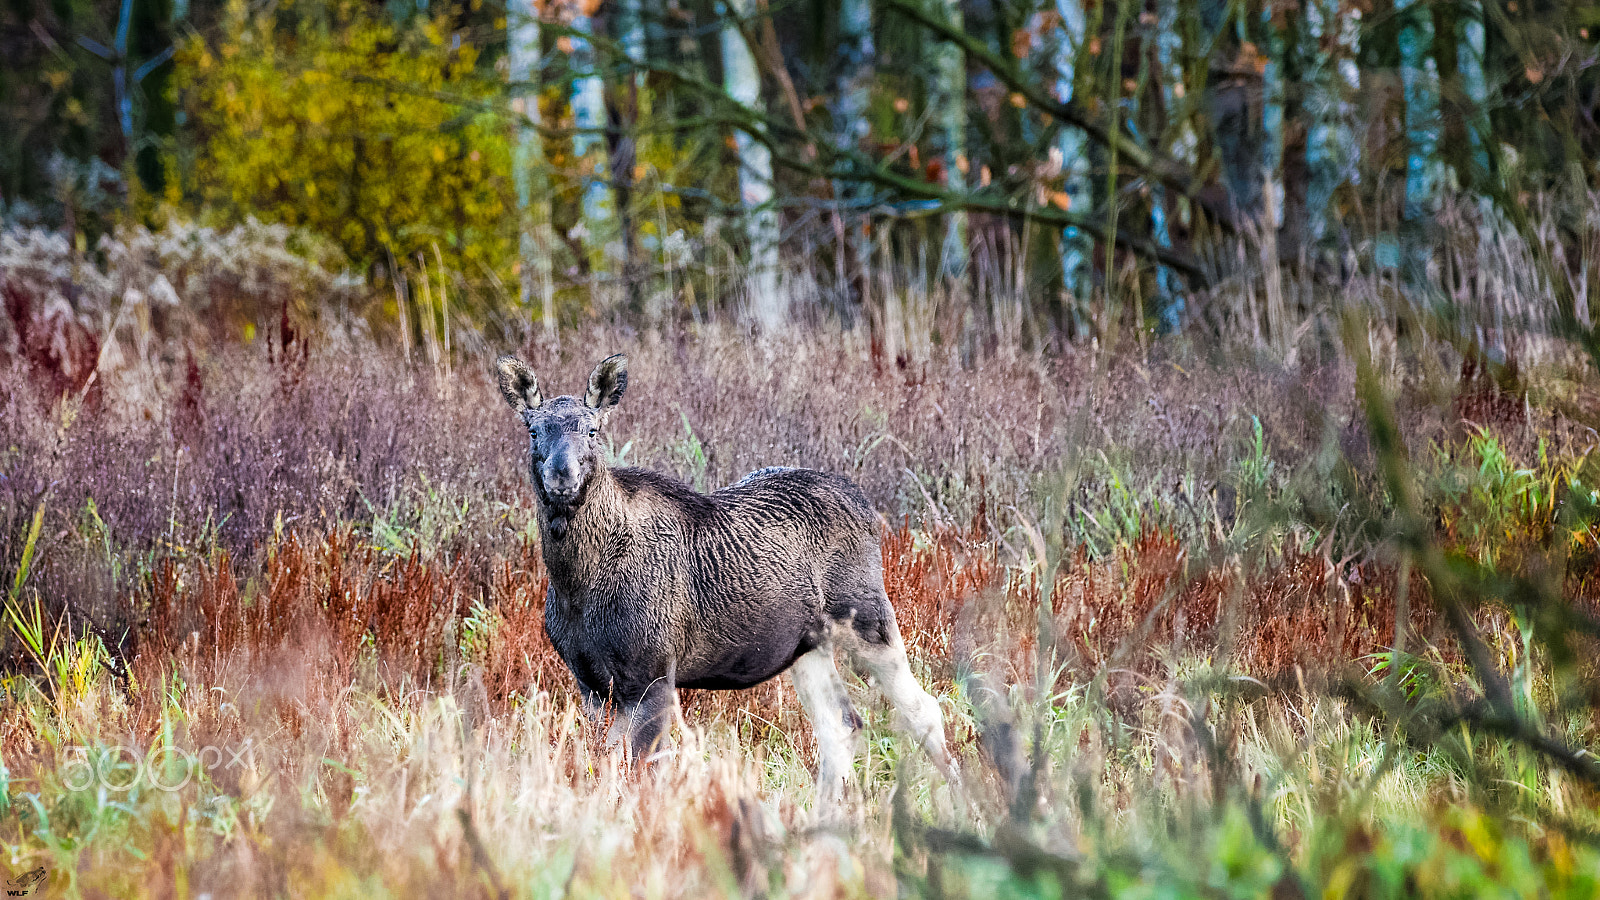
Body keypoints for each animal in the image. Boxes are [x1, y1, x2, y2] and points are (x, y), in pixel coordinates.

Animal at [493, 353, 958, 812]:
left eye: (592, 430)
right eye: (533, 430)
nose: (561, 475)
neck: (577, 584)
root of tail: (866, 505)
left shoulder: (652, 675)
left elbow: (646, 771)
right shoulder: (590, 683)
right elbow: (605, 767)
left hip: (868, 619)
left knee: (924, 710)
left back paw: (960, 800)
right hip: (807, 646)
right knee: (841, 726)